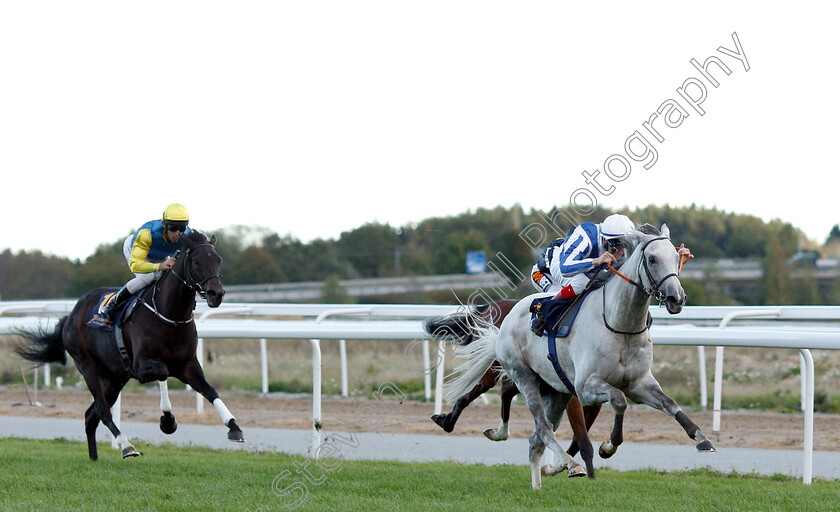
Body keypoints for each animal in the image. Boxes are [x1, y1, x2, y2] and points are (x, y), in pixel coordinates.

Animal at [13, 232, 243, 460]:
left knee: (91, 415)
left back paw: (94, 458)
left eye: (218, 260)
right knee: (103, 410)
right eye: (196, 261)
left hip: (114, 377)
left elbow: (210, 391)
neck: (170, 316)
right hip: (87, 366)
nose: (216, 294)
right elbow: (163, 371)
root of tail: (71, 315)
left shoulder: (188, 365)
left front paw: (234, 427)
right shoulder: (142, 366)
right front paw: (167, 421)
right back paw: (126, 446)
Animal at [426, 298, 604, 478]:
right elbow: (581, 435)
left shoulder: (593, 399)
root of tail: (491, 305)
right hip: (493, 364)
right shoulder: (568, 391)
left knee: (505, 389)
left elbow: (580, 435)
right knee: (477, 389)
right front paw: (574, 468)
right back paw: (447, 421)